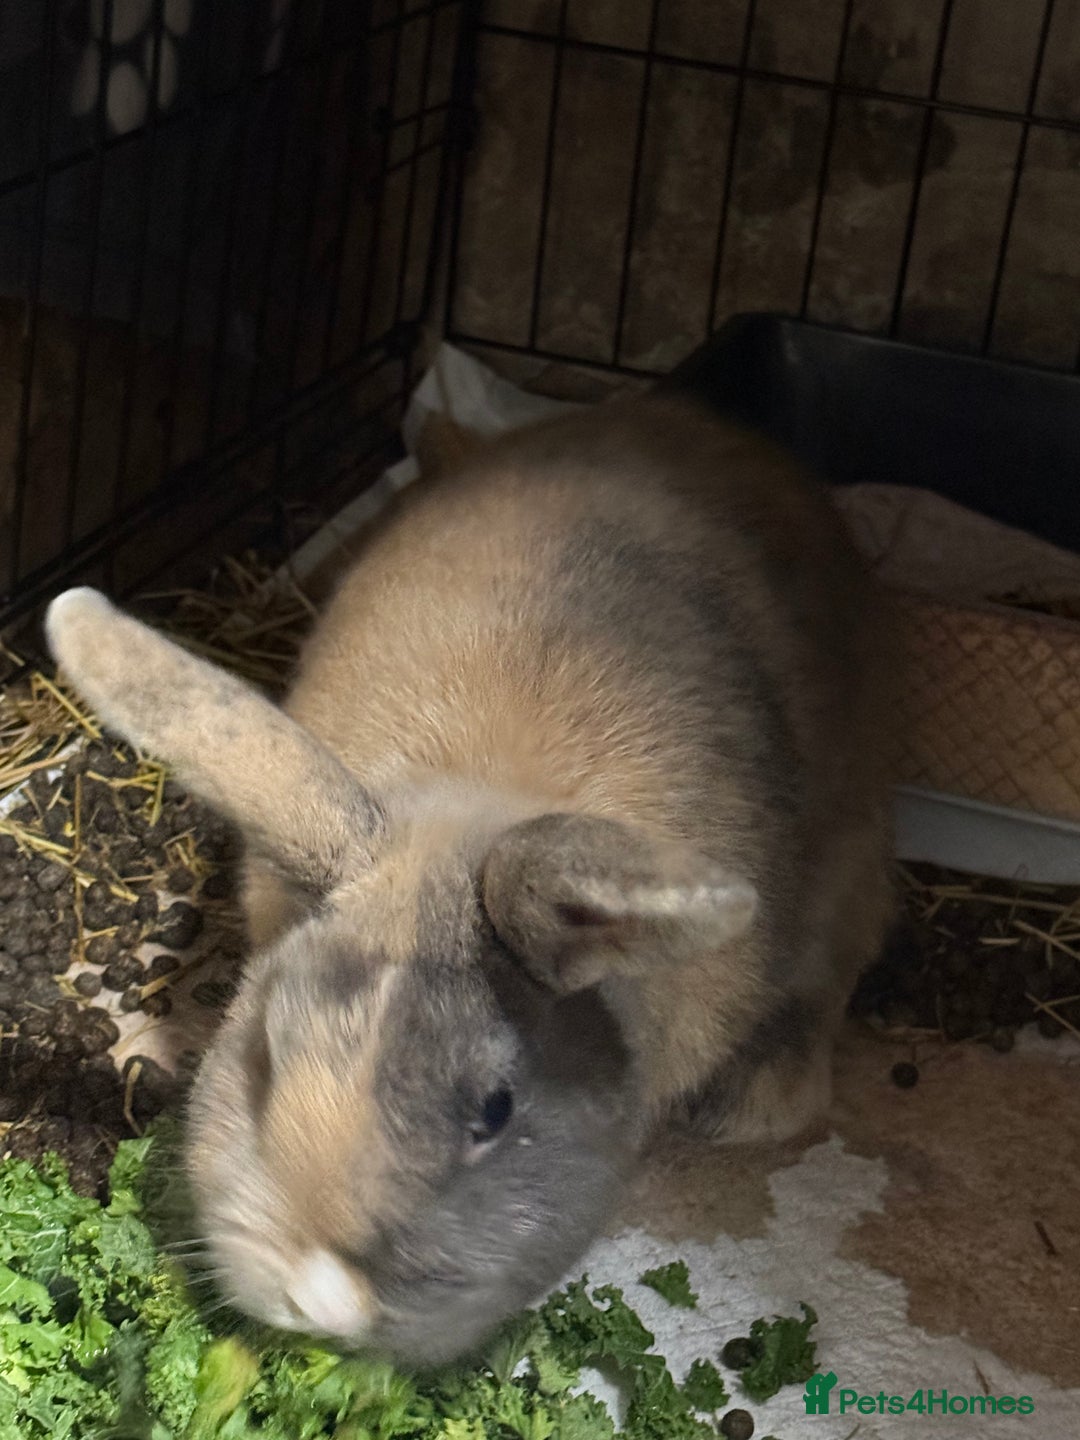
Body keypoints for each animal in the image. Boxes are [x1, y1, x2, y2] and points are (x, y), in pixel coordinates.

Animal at [45, 390, 895, 1366]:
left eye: (495, 1109)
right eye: (263, 1056)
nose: (321, 1300)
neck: (471, 810)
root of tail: (691, 420)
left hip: (856, 862)